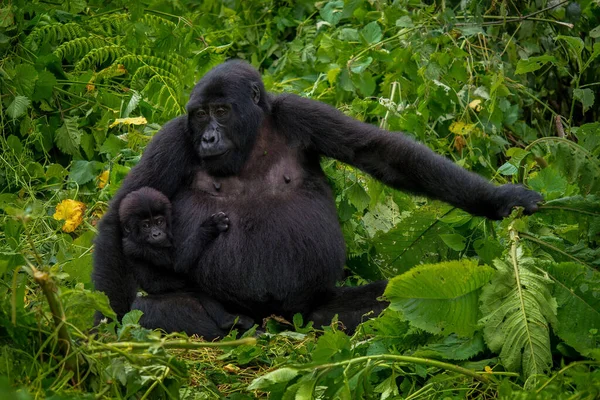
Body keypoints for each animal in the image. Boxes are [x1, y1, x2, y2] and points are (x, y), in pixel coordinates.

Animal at [119, 188, 253, 338]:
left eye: (159, 222)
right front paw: (209, 227)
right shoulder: (141, 247)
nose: (156, 234)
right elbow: (179, 264)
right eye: (145, 226)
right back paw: (227, 320)